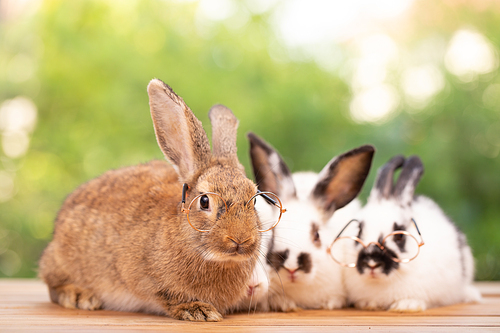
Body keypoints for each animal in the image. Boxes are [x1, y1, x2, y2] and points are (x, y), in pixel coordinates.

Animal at [38, 79, 286, 320]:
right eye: (204, 201)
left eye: (254, 201)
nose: (240, 239)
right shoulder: (139, 276)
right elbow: (165, 295)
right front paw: (197, 310)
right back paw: (80, 296)